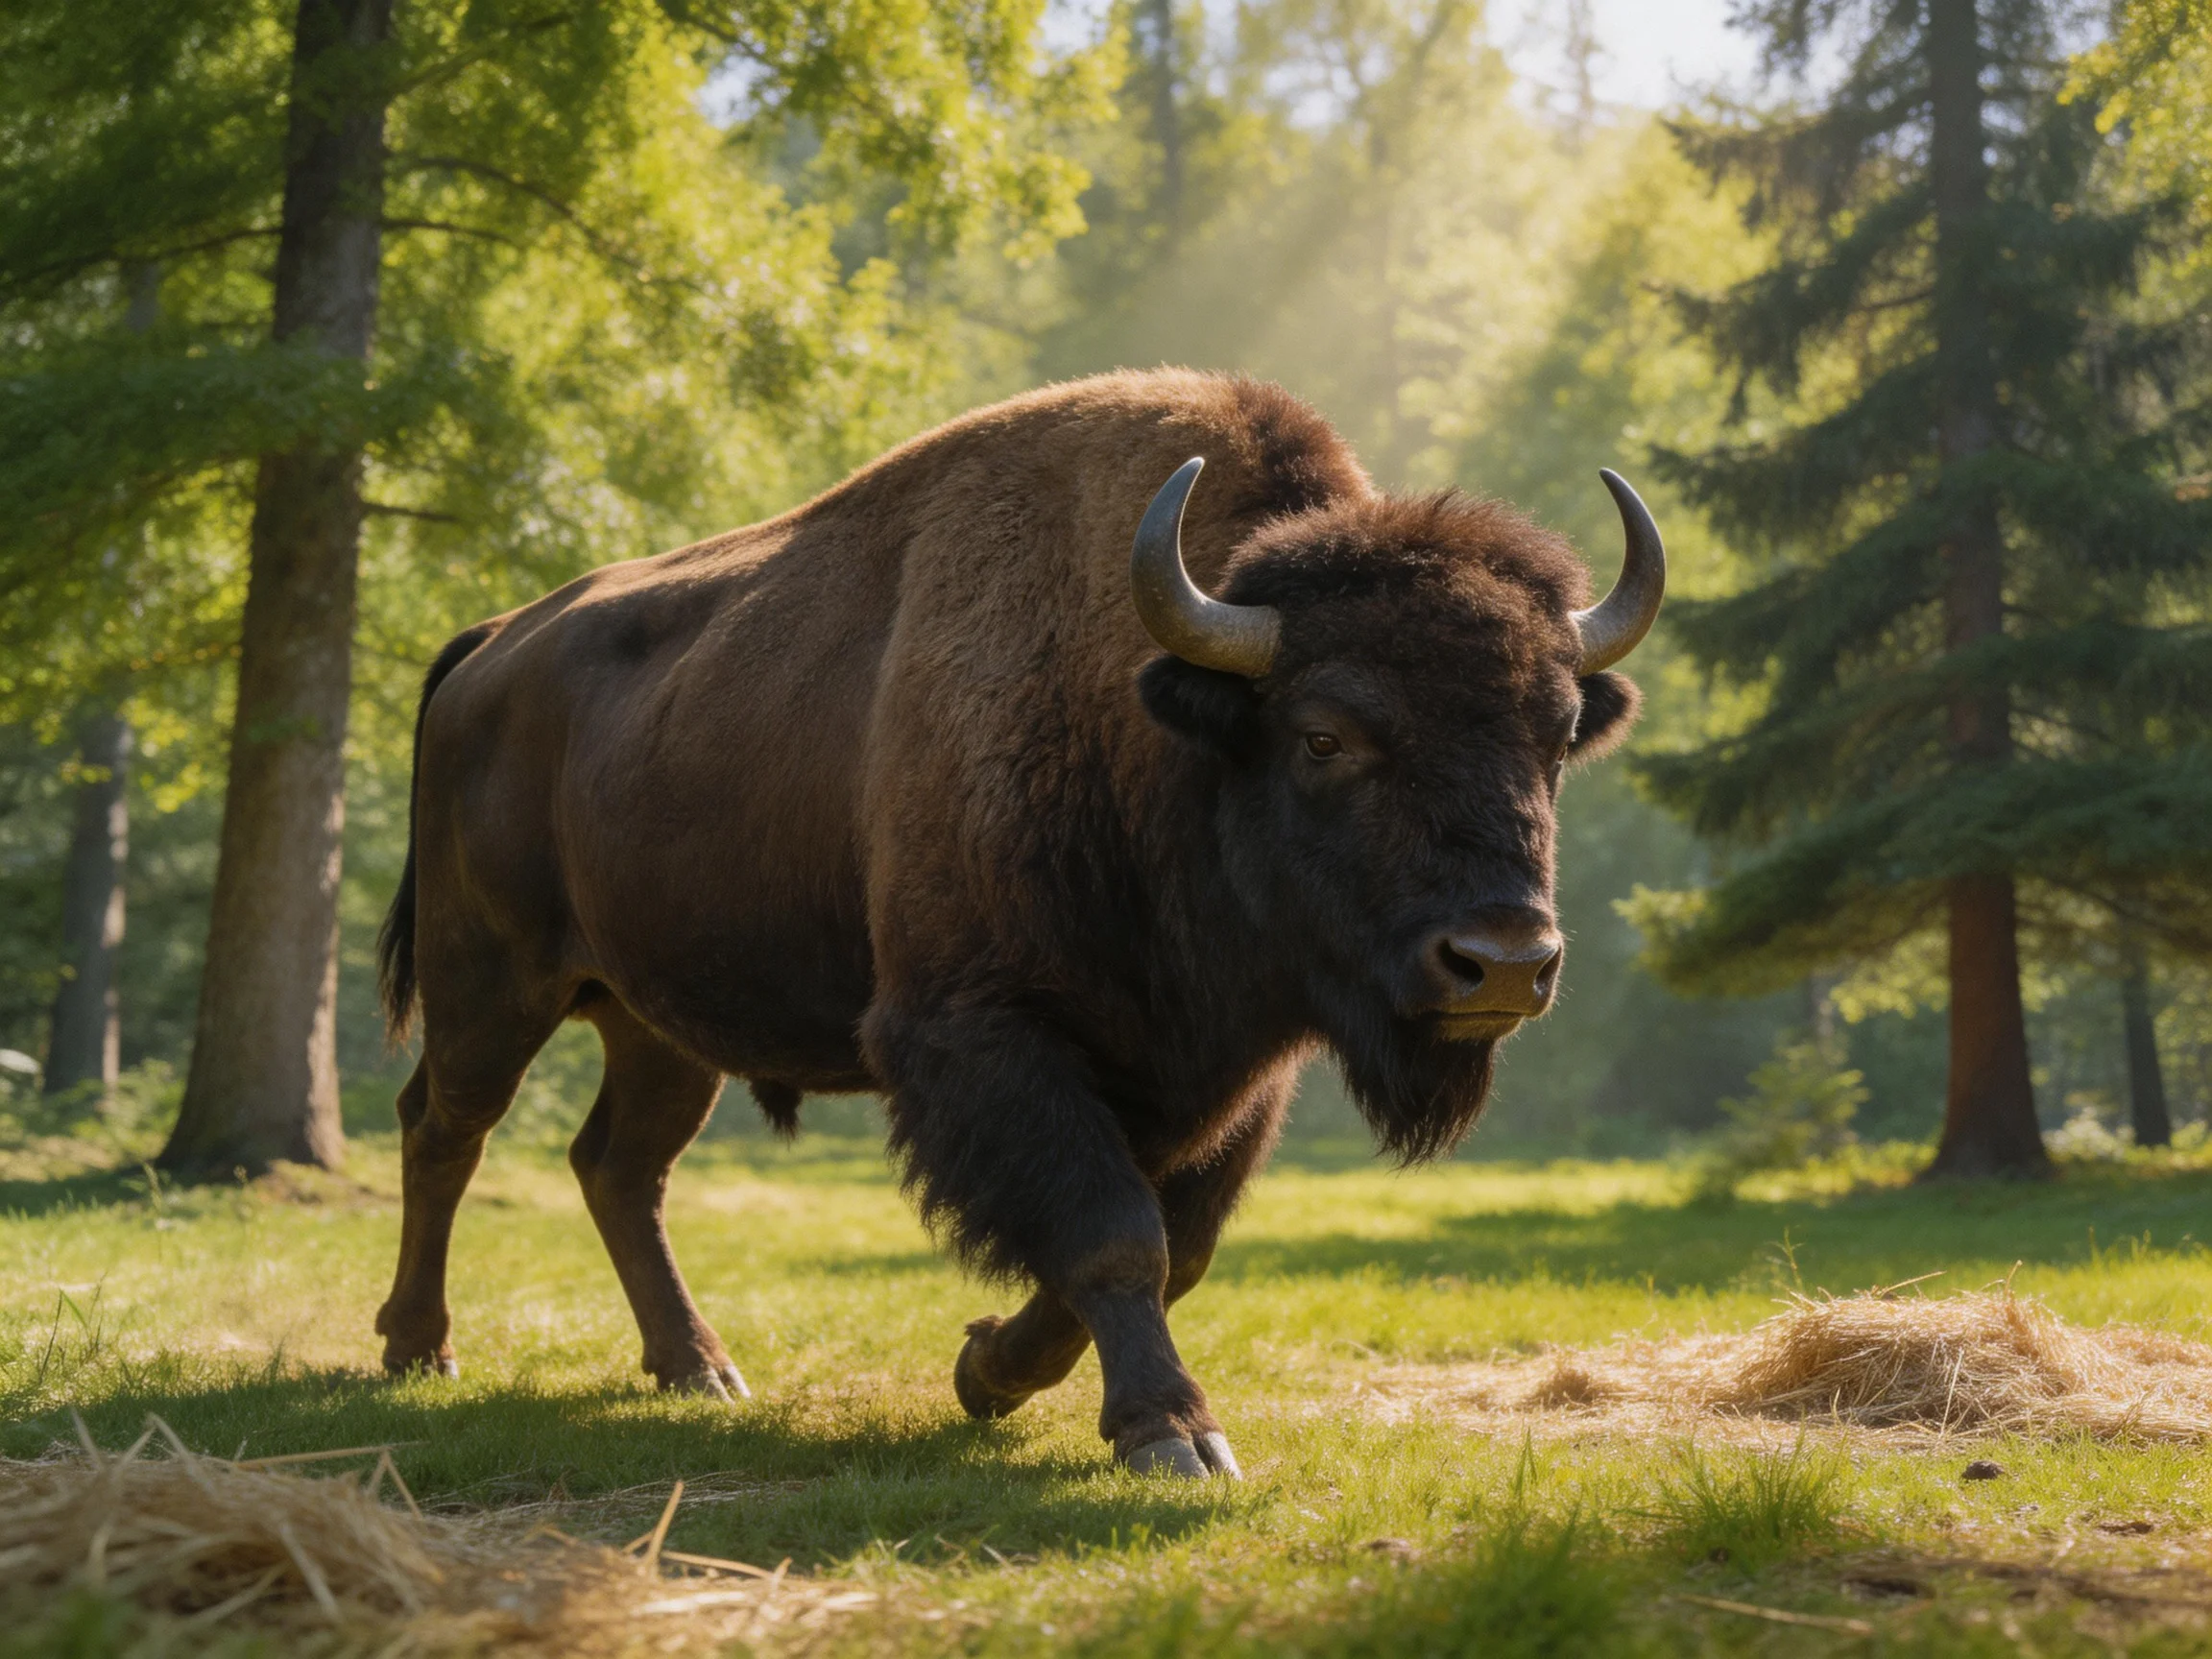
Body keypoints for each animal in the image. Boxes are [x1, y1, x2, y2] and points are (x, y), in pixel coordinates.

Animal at [374, 369, 1663, 1477]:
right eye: (1324, 734)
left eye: (1556, 734)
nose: (1503, 963)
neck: (1153, 724)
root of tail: (489, 648)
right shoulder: (983, 1032)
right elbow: (1114, 1232)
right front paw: (1172, 1435)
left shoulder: (1229, 1078)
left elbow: (1170, 1244)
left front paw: (987, 1369)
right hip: (493, 984)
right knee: (446, 1128)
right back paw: (418, 1348)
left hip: (660, 1027)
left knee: (620, 1168)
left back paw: (698, 1369)